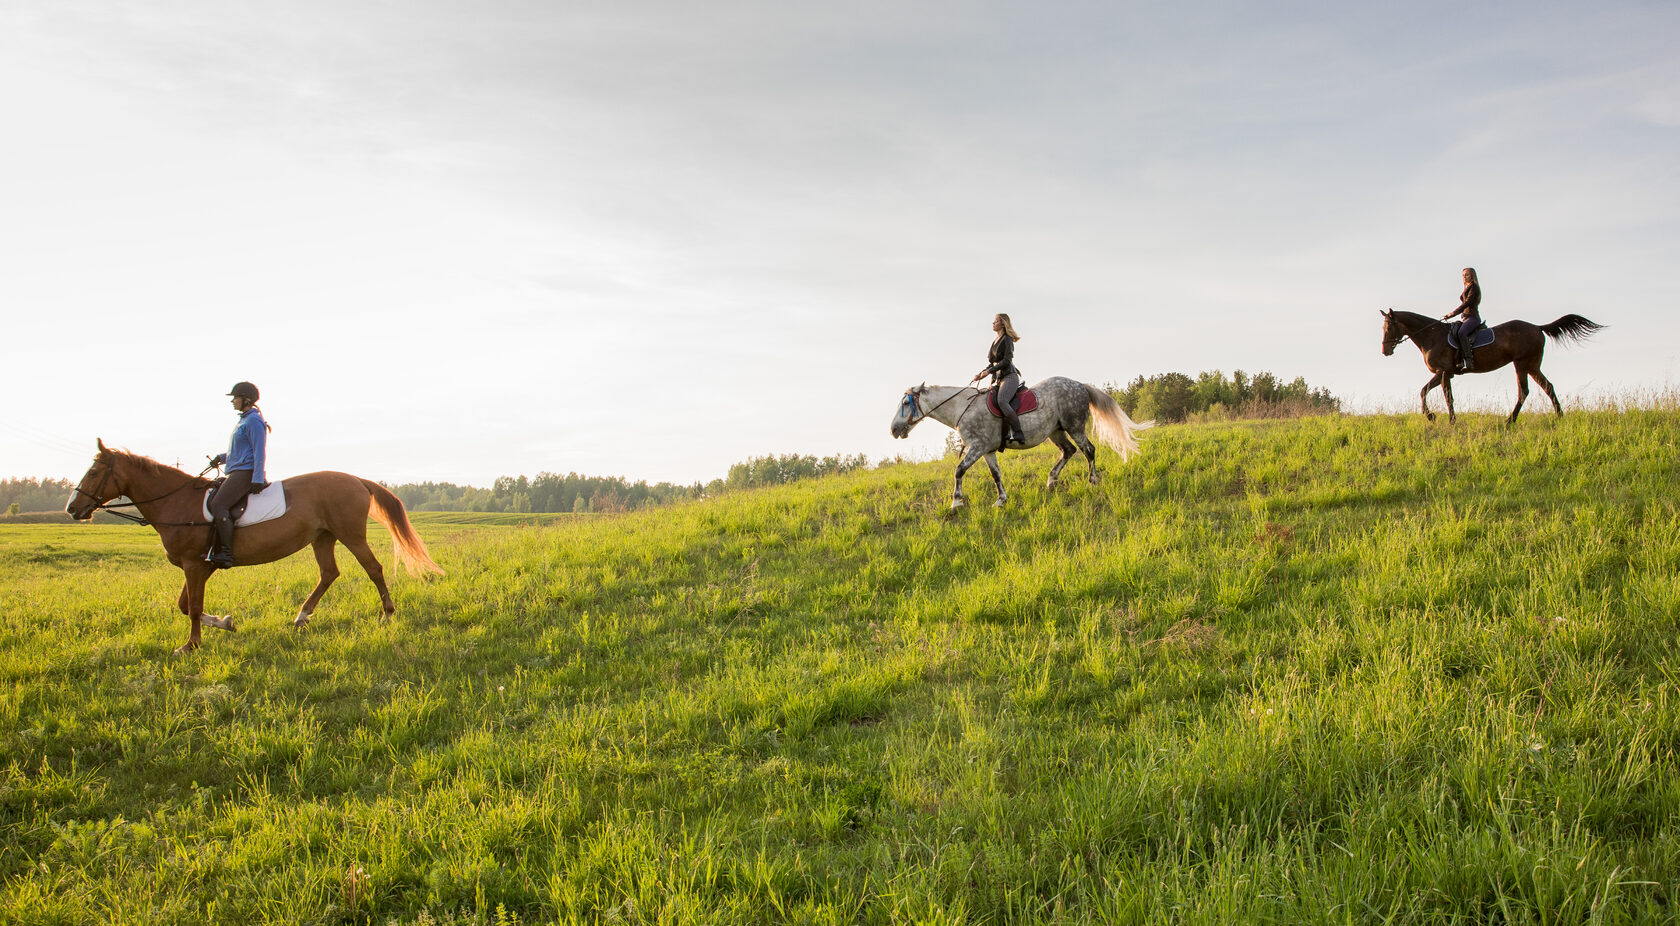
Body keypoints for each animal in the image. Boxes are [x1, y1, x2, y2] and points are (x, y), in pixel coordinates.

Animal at [65, 440, 440, 652]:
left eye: (94, 471)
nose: (72, 509)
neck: (177, 503)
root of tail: (357, 480)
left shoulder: (195, 565)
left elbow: (193, 608)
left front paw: (191, 645)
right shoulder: (200, 566)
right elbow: (186, 606)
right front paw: (225, 623)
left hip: (350, 534)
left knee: (373, 568)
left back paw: (387, 614)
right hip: (322, 537)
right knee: (329, 574)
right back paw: (301, 617)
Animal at [893, 374, 1155, 510]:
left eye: (906, 403)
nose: (894, 430)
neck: (962, 408)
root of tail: (1081, 385)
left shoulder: (977, 447)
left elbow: (959, 470)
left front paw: (956, 502)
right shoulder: (987, 451)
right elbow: (996, 475)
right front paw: (1001, 500)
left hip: (1074, 426)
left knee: (1088, 450)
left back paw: (1092, 481)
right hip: (1056, 431)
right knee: (1068, 451)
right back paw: (1051, 481)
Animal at [1384, 310, 1606, 426]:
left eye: (1388, 327)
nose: (1385, 351)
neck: (1432, 336)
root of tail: (1537, 327)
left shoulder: (1443, 372)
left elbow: (1437, 395)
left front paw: (1438, 417)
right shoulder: (1446, 374)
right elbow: (1435, 393)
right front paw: (1441, 418)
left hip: (1522, 363)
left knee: (1524, 391)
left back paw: (1510, 420)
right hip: (1532, 365)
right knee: (1547, 386)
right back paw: (1559, 416)